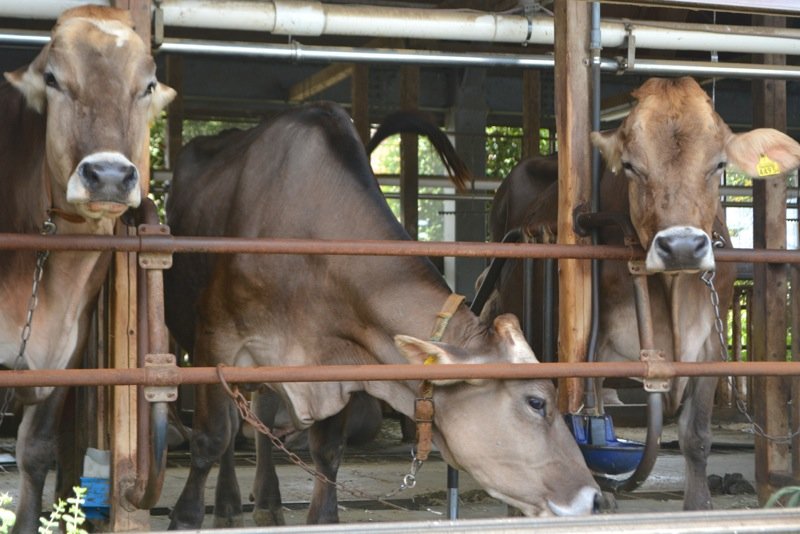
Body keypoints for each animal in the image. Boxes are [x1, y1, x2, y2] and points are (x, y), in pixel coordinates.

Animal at [164, 102, 600, 528]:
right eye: (536, 402)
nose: (594, 497)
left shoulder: (337, 364)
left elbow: (328, 452)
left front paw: (324, 515)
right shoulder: (215, 339)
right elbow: (211, 437)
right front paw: (184, 517)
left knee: (261, 419)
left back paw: (264, 501)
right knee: (232, 429)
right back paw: (228, 504)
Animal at [482, 77, 800, 512]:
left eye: (719, 165)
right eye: (631, 166)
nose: (681, 246)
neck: (673, 298)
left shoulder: (710, 349)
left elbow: (696, 437)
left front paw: (698, 507)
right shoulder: (592, 350)